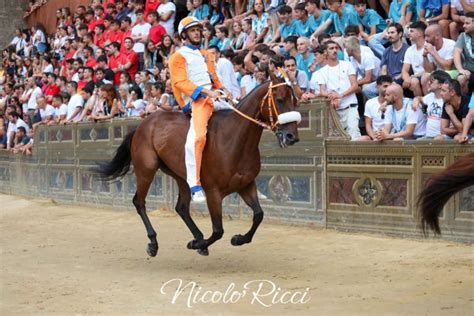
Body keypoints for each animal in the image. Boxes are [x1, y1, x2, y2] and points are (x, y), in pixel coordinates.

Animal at [97, 74, 300, 256]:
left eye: (295, 100)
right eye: (279, 99)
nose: (292, 137)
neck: (234, 139)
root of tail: (141, 126)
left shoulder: (246, 185)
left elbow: (258, 215)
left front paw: (237, 239)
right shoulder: (213, 192)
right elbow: (218, 230)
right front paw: (197, 244)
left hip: (181, 176)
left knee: (181, 207)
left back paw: (197, 237)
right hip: (146, 170)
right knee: (139, 202)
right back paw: (154, 243)